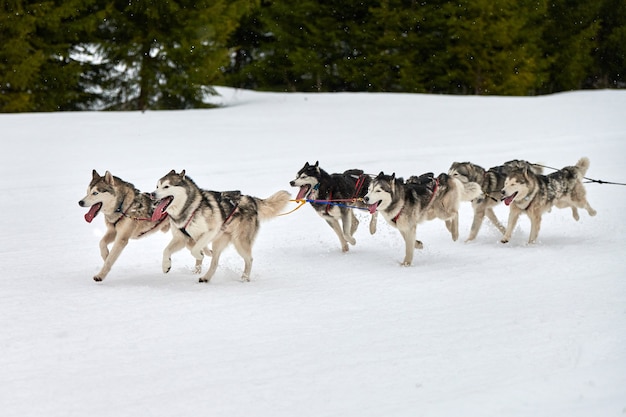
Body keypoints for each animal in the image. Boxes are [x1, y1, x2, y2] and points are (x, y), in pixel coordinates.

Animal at [151, 169, 290, 282]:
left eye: (166, 186)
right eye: (157, 186)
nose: (152, 194)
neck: (190, 209)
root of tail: (250, 199)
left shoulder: (211, 231)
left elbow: (195, 250)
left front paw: (200, 254)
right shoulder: (181, 238)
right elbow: (166, 250)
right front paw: (166, 266)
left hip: (239, 242)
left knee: (249, 259)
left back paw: (244, 277)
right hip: (218, 241)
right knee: (215, 262)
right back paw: (206, 277)